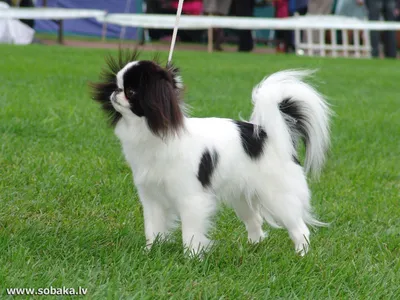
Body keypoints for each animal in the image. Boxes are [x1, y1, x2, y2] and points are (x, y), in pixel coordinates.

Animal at [90, 49, 332, 255]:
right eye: (116, 85)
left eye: (131, 91)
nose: (115, 92)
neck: (153, 134)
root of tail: (270, 134)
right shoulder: (151, 198)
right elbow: (153, 229)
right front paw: (150, 253)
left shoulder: (191, 198)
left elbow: (190, 233)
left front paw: (191, 258)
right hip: (242, 197)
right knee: (255, 222)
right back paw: (252, 249)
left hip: (278, 197)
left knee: (300, 228)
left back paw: (301, 254)